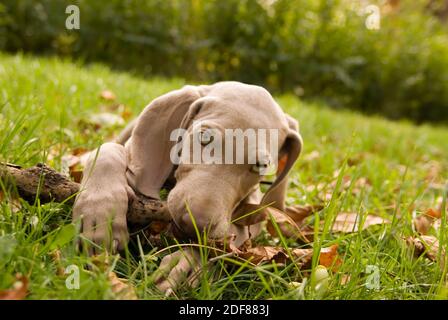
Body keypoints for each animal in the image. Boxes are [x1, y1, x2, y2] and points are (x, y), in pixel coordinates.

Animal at [73, 80, 302, 292]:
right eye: (204, 137)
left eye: (260, 165)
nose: (194, 224)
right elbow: (107, 151)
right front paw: (101, 214)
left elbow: (233, 237)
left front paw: (190, 261)